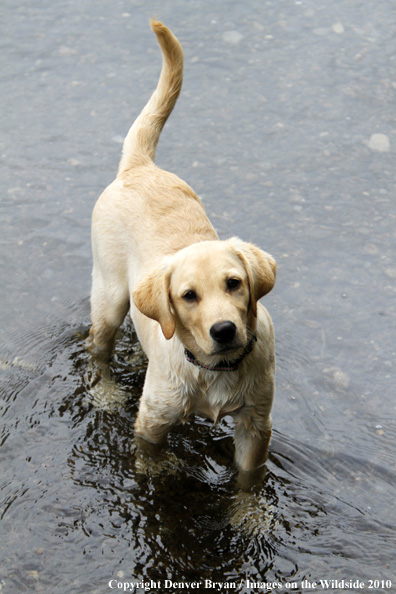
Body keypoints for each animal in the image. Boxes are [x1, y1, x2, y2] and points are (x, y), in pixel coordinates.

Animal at [88, 19, 276, 486]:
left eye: (235, 284)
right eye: (188, 296)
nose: (224, 330)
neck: (216, 369)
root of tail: (140, 166)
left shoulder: (255, 425)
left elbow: (248, 482)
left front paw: (246, 506)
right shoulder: (152, 422)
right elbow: (151, 460)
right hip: (109, 295)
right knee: (97, 347)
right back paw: (105, 392)